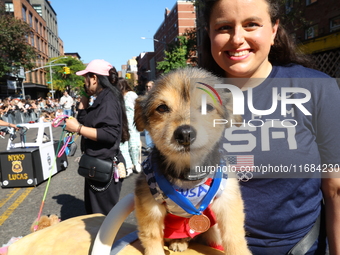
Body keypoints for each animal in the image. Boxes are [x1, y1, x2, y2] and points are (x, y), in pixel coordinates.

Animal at [134, 66, 251, 254]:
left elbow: (234, 236)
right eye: (162, 108)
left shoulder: (227, 200)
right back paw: (179, 241)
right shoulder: (148, 202)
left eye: (207, 107)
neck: (189, 176)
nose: (184, 134)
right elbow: (151, 236)